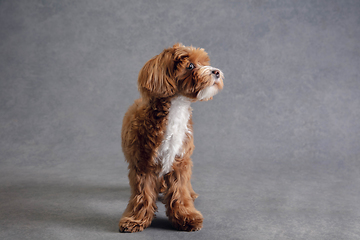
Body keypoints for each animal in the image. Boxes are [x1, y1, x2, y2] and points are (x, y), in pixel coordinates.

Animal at [119, 43, 224, 232]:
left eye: (204, 62)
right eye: (190, 65)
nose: (216, 72)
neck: (176, 108)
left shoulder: (180, 161)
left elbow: (180, 192)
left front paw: (186, 217)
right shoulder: (143, 163)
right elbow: (142, 194)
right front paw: (135, 219)